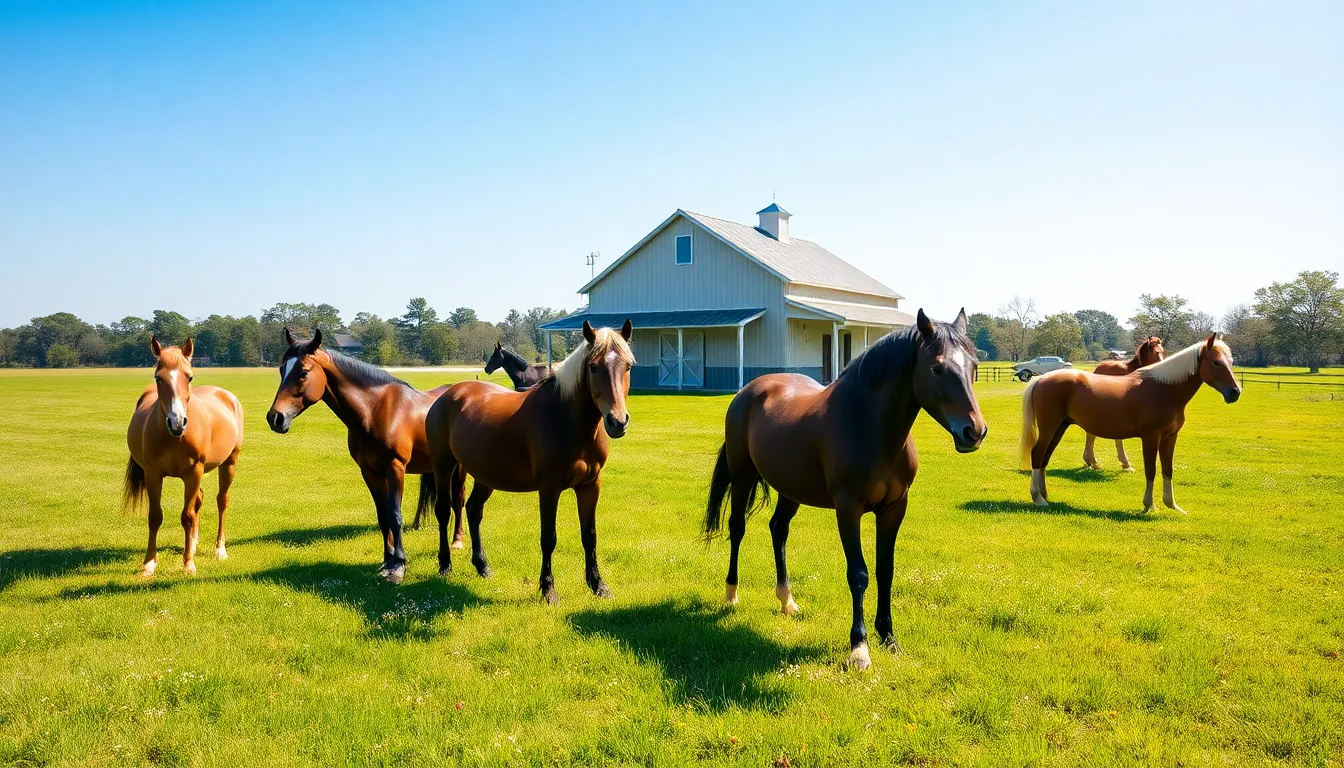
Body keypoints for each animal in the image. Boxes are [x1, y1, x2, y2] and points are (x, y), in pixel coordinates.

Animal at [124, 337, 244, 577]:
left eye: (189, 377)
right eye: (158, 378)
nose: (177, 422)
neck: (174, 437)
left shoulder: (193, 471)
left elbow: (187, 516)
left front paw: (188, 564)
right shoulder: (152, 473)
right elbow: (155, 516)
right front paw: (149, 564)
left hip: (229, 462)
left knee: (221, 501)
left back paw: (220, 549)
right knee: (200, 498)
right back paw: (194, 543)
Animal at [264, 328, 464, 583]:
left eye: (304, 372)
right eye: (282, 369)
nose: (275, 418)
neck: (375, 410)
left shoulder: (395, 469)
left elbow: (395, 515)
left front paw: (398, 566)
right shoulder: (370, 472)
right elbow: (383, 516)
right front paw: (387, 561)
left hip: (458, 469)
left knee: (458, 501)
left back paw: (457, 542)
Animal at [425, 320, 634, 604]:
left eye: (628, 365)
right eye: (593, 366)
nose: (617, 422)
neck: (567, 419)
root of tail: (447, 395)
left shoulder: (591, 485)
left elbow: (589, 536)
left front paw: (598, 585)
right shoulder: (549, 488)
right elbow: (548, 538)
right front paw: (548, 590)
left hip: (484, 475)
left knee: (473, 510)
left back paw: (482, 566)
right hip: (443, 466)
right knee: (444, 510)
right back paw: (445, 564)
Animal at [703, 309, 988, 671]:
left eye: (974, 366)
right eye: (937, 368)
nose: (974, 432)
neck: (870, 427)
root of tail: (748, 391)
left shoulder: (895, 508)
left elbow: (885, 570)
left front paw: (889, 637)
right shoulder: (848, 507)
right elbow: (859, 573)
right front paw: (859, 648)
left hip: (790, 490)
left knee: (778, 529)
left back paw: (787, 601)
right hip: (742, 477)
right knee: (737, 528)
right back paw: (731, 594)